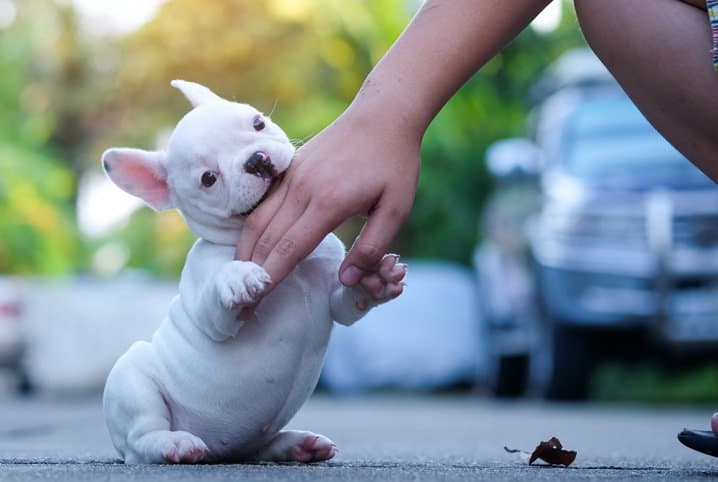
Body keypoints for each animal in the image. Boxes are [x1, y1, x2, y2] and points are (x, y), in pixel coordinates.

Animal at [102, 81, 408, 466]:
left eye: (258, 123)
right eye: (208, 179)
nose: (256, 160)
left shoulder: (331, 295)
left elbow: (346, 301)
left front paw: (373, 282)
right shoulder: (212, 314)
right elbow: (217, 302)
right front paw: (238, 277)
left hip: (249, 436)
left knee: (256, 445)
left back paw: (296, 445)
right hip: (132, 379)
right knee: (140, 440)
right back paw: (173, 444)